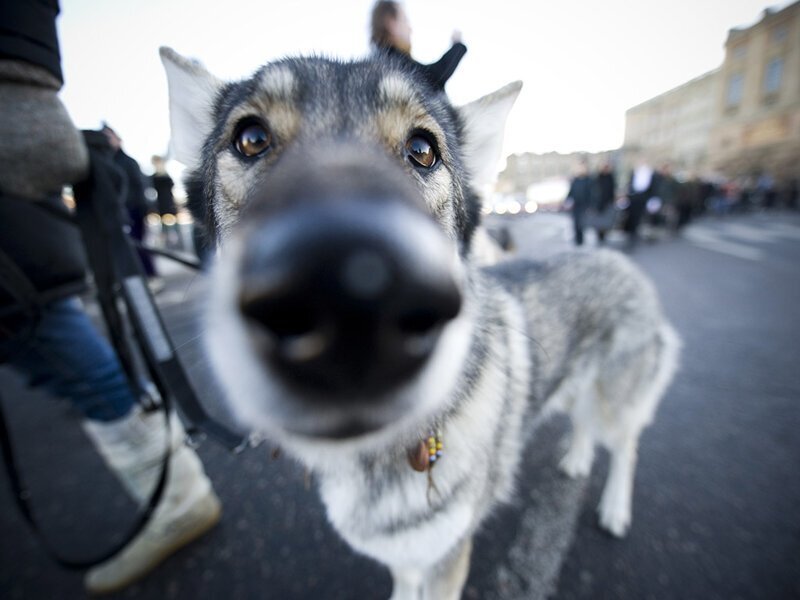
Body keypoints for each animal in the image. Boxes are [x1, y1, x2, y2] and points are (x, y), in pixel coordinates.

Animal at [159, 44, 680, 596]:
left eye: (423, 150)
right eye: (251, 139)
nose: (353, 291)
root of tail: (618, 257)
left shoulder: (448, 557)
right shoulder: (405, 554)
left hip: (616, 404)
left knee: (625, 448)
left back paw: (615, 508)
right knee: (582, 423)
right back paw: (577, 459)